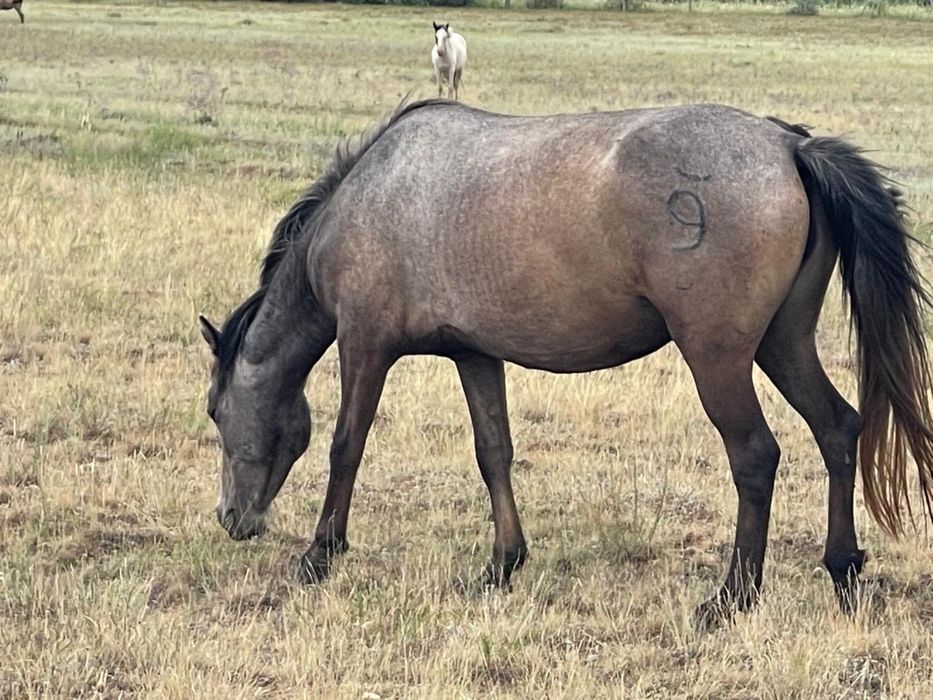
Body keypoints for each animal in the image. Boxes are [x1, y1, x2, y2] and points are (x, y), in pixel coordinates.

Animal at [199, 99, 933, 629]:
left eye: (213, 412)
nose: (232, 520)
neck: (370, 196)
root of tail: (787, 146)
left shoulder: (365, 344)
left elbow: (345, 446)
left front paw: (319, 555)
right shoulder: (474, 354)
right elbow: (493, 451)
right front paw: (501, 565)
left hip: (718, 359)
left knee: (755, 456)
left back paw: (731, 598)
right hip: (784, 345)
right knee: (837, 428)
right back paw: (841, 569)